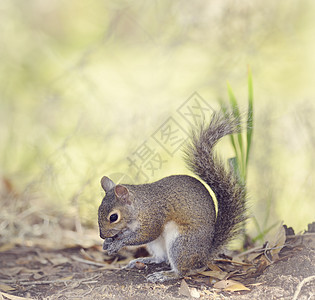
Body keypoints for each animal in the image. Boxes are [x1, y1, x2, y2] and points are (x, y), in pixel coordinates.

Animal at [97, 111, 248, 282]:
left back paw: (165, 275)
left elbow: (143, 235)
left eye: (113, 217)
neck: (139, 207)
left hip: (181, 243)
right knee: (161, 257)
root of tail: (204, 255)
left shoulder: (153, 218)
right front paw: (108, 242)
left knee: (182, 271)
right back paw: (142, 260)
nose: (102, 235)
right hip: (158, 244)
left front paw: (117, 243)